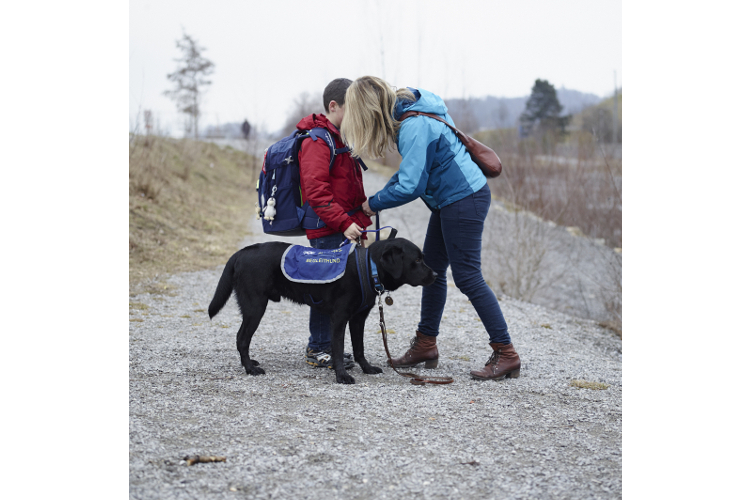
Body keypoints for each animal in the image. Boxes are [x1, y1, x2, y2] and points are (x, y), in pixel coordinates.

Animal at [209, 234, 438, 382]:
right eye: (417, 259)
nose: (436, 274)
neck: (368, 267)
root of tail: (240, 253)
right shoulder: (339, 318)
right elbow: (338, 348)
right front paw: (342, 376)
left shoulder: (358, 319)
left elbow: (359, 348)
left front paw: (366, 368)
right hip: (255, 306)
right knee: (241, 338)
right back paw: (249, 368)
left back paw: (250, 364)